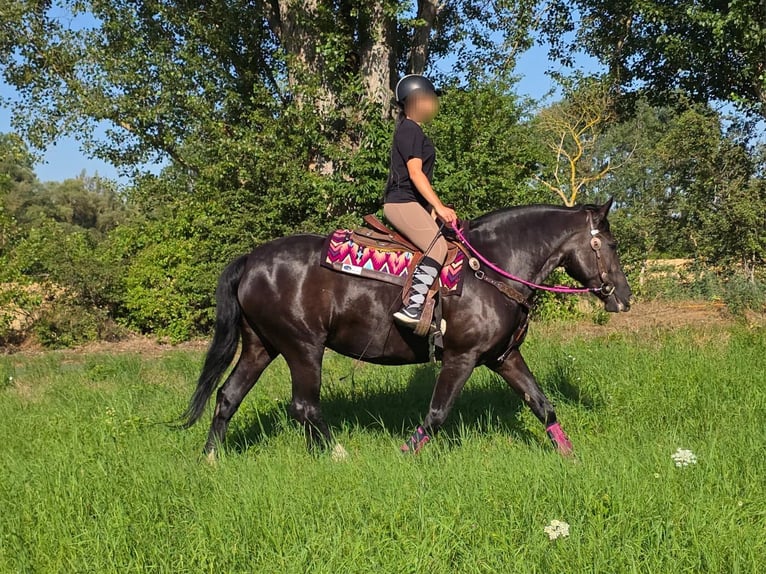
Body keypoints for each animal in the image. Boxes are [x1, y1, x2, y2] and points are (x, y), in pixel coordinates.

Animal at [180, 198, 632, 457]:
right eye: (611, 245)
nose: (624, 297)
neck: (490, 268)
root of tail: (252, 261)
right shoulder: (461, 357)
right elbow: (437, 413)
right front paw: (404, 455)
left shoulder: (504, 357)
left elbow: (542, 404)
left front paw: (570, 457)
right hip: (302, 348)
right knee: (304, 406)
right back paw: (338, 455)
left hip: (262, 346)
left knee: (228, 396)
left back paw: (211, 458)